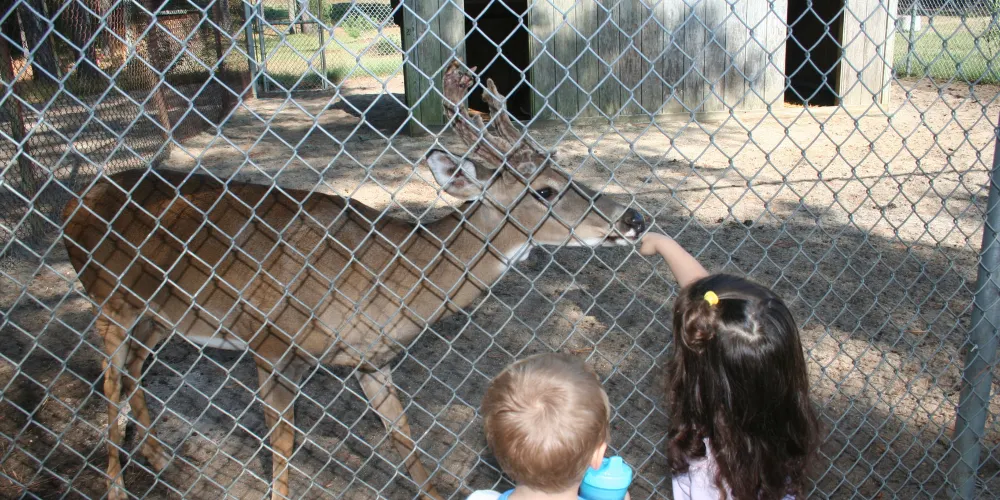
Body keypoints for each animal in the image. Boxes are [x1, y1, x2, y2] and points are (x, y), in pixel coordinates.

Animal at [60, 60, 647, 500]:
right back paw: (116, 485)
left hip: (159, 315)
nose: (634, 218)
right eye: (544, 190)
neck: (380, 276)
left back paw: (159, 460)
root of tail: (78, 201)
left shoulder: (374, 358)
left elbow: (402, 434)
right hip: (109, 301)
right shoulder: (271, 342)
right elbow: (283, 445)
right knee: (109, 384)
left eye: (565, 171)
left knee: (135, 373)